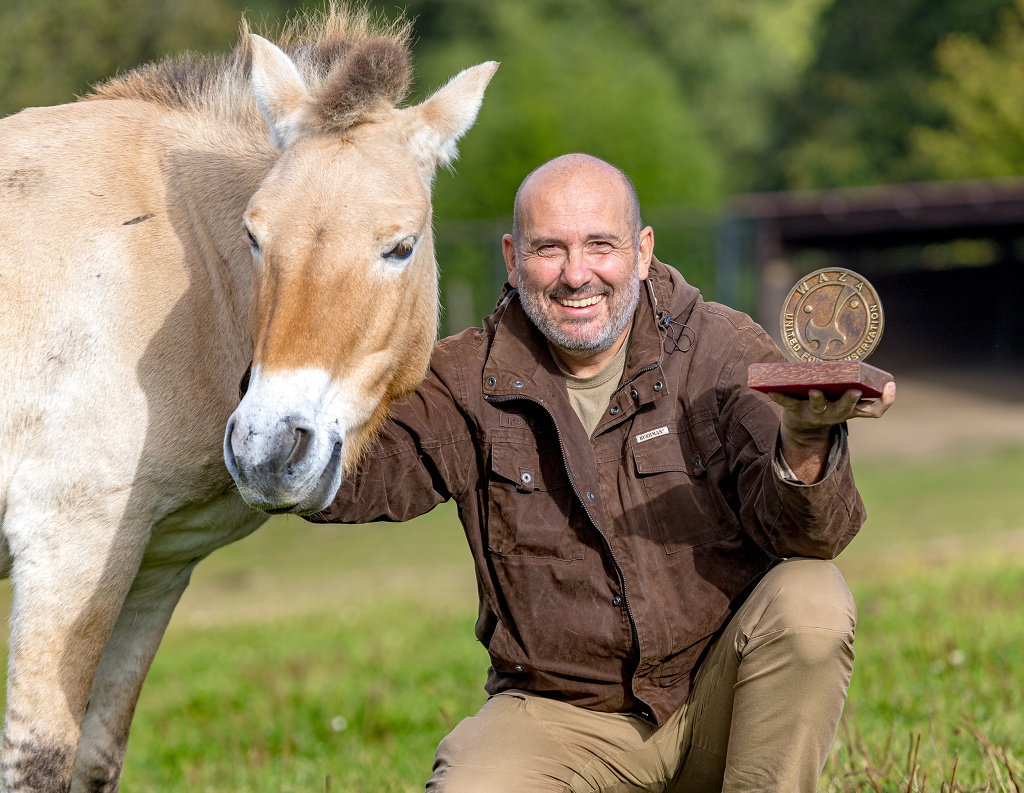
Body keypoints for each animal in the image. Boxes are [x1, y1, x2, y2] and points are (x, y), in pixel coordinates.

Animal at [0, 7, 495, 793]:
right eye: (254, 236)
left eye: (400, 247)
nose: (266, 448)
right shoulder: (66, 542)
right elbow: (40, 756)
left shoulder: (154, 563)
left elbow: (97, 754)